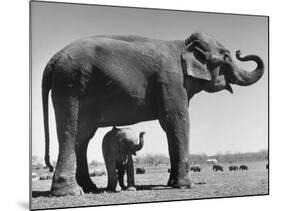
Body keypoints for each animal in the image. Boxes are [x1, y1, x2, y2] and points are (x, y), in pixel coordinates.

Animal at [41, 31, 262, 196]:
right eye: (226, 55)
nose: (240, 51)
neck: (183, 45)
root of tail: (54, 59)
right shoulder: (172, 82)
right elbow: (178, 121)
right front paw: (185, 186)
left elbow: (170, 127)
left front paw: (172, 183)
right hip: (70, 85)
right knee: (70, 132)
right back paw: (71, 192)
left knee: (83, 136)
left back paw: (89, 188)